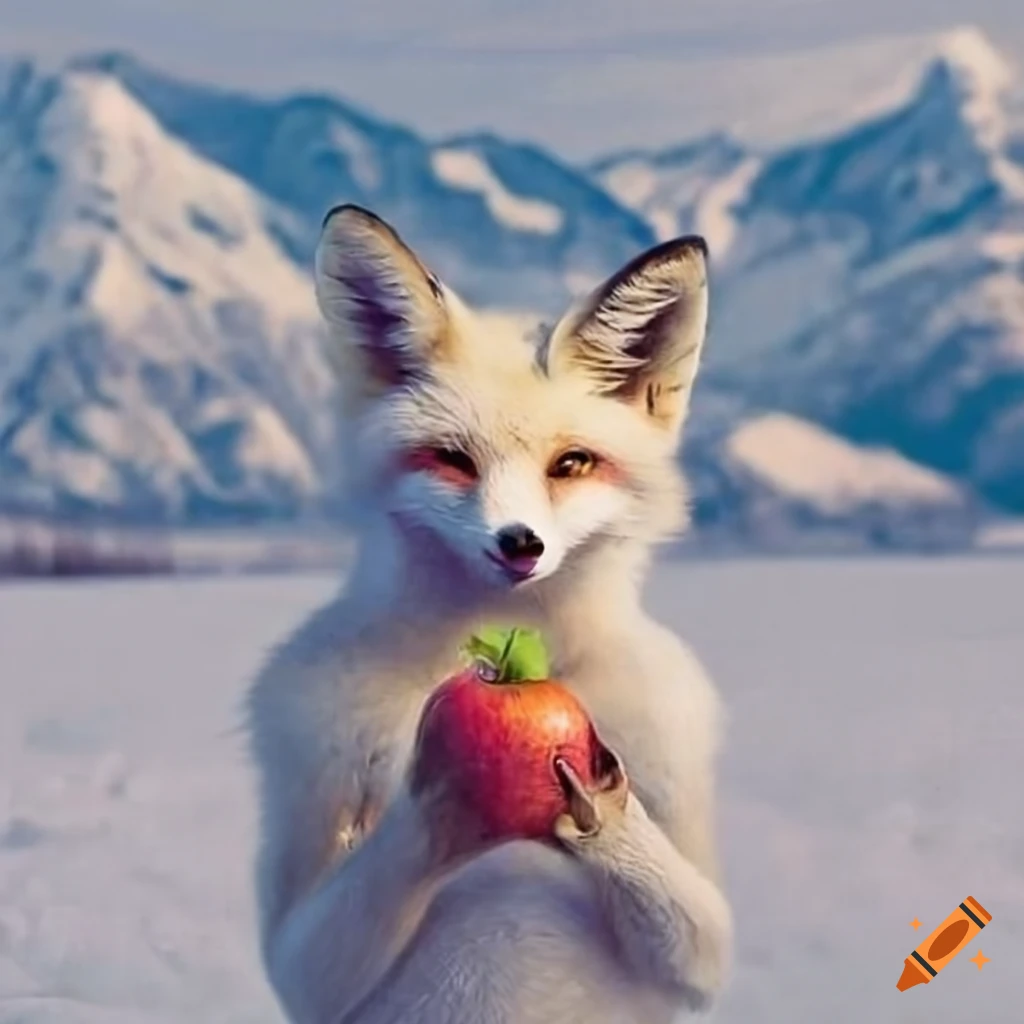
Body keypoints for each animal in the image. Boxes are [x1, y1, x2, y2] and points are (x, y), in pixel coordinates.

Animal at [247, 204, 732, 1024]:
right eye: (453, 460)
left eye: (570, 464)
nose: (520, 542)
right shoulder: (308, 758)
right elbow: (302, 962)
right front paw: (444, 801)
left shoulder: (675, 759)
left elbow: (704, 944)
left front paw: (597, 803)